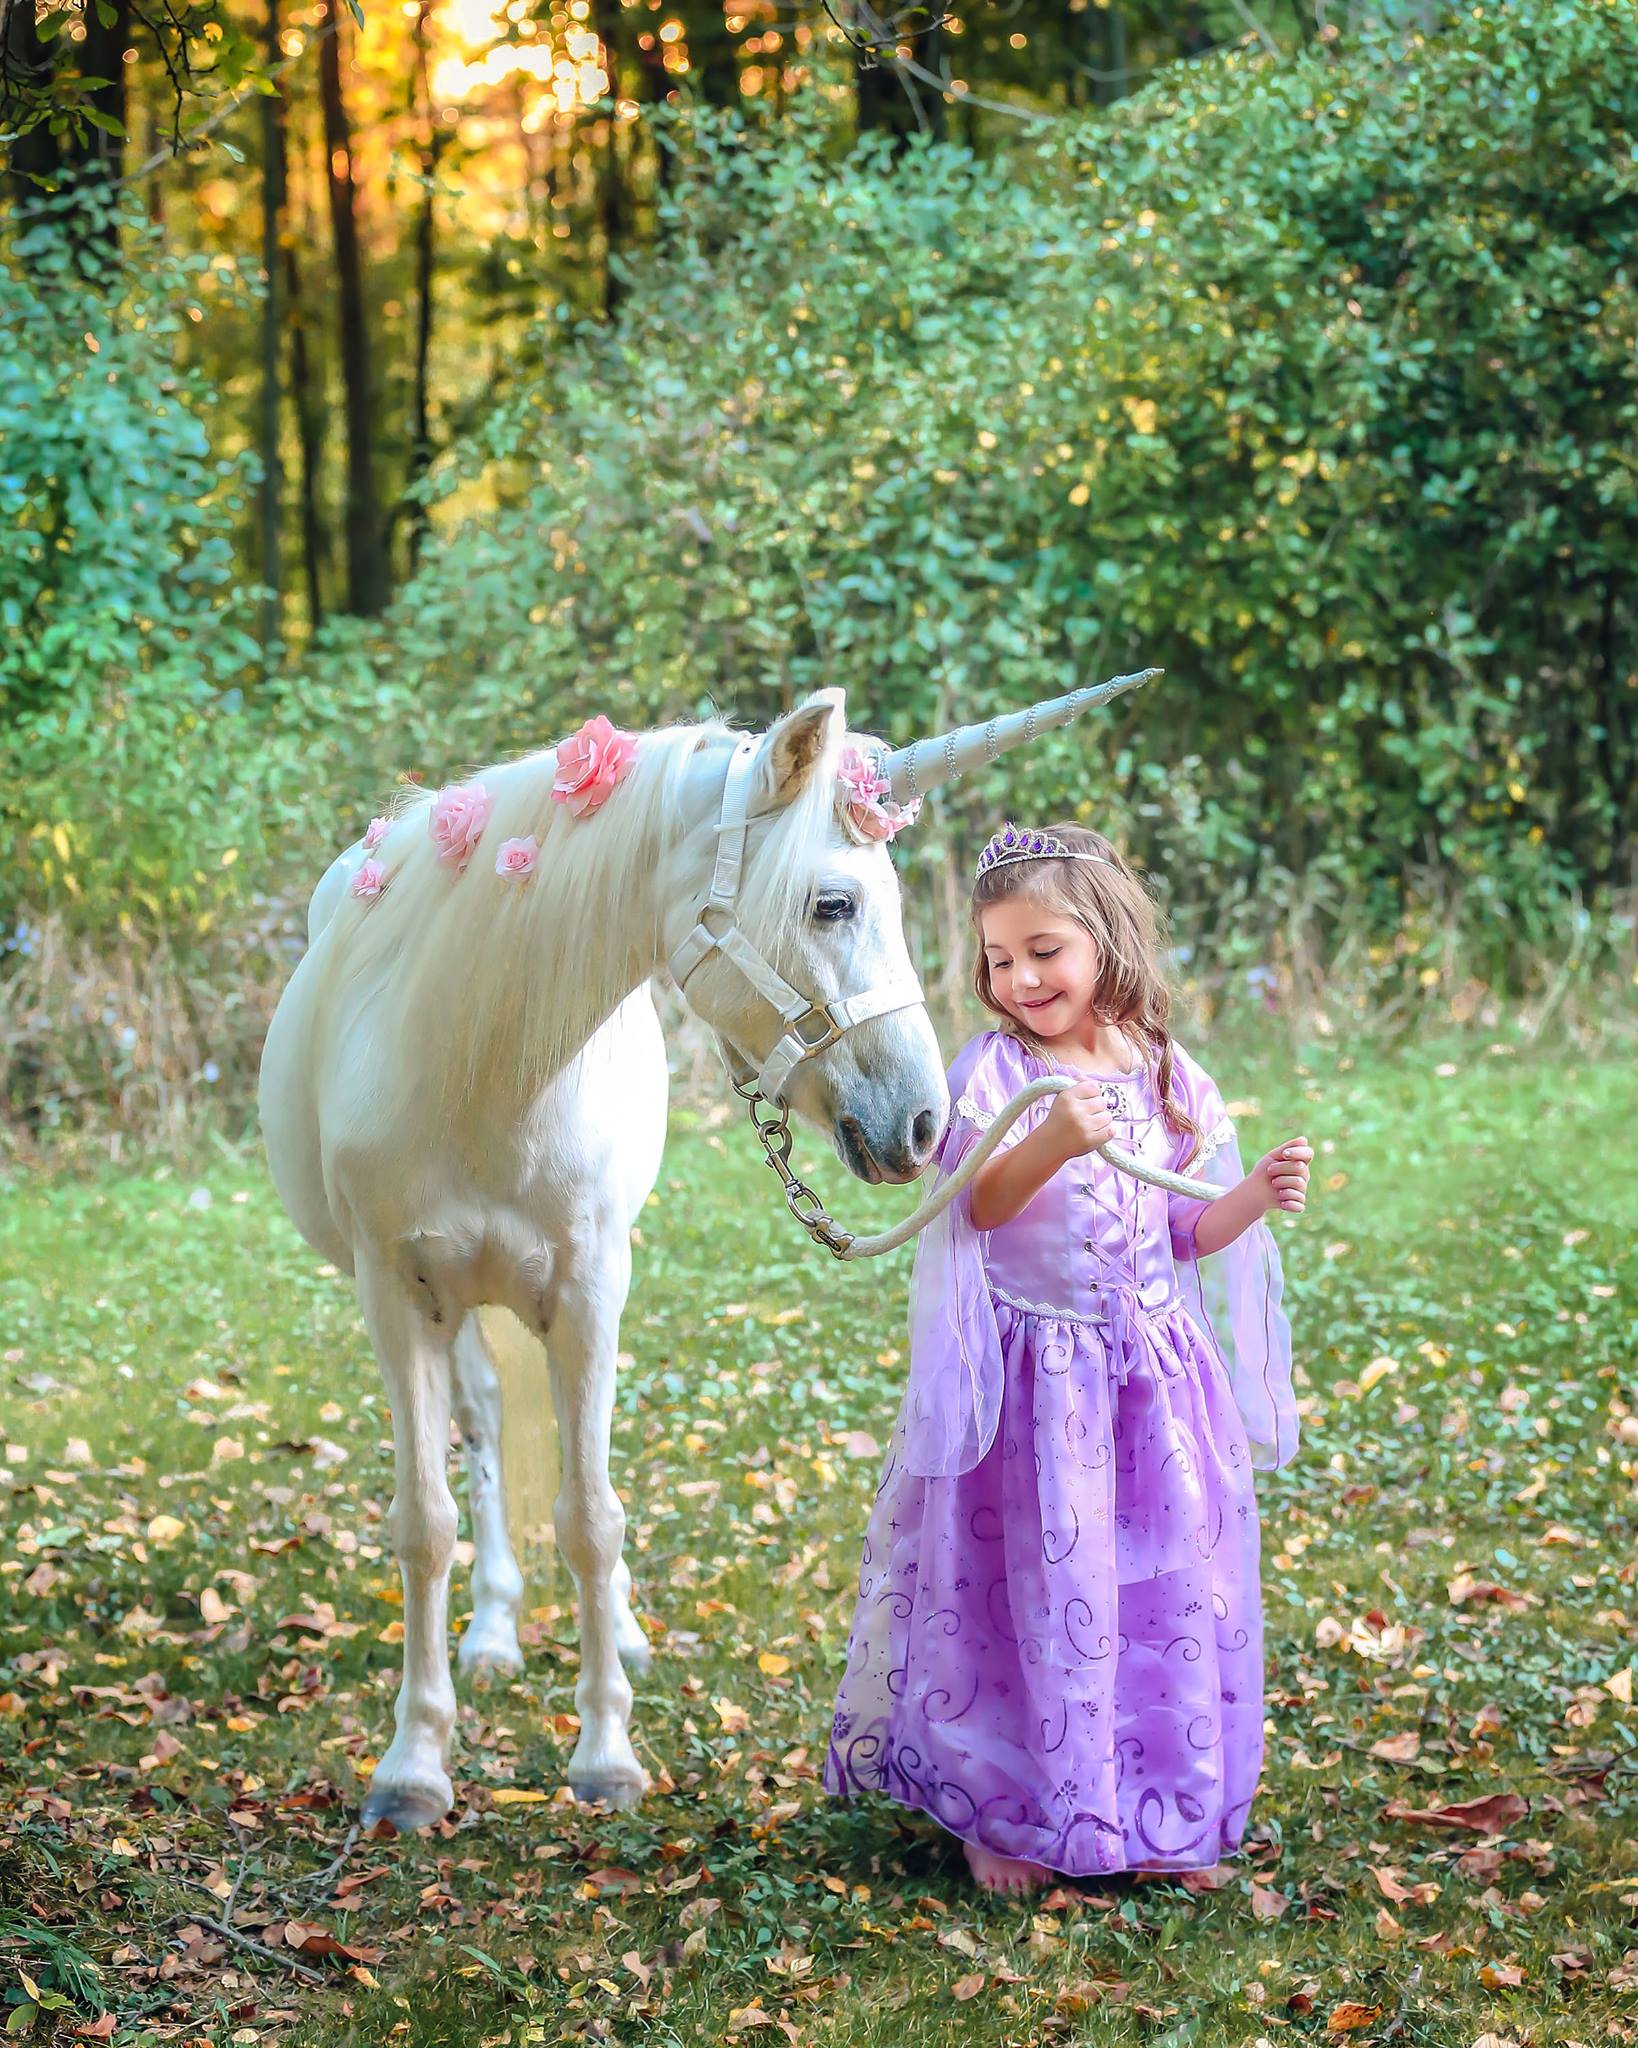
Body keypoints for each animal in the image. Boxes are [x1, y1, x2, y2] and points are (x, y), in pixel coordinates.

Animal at [258, 675, 1151, 1831]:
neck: (481, 1067)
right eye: (831, 904)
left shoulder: (591, 1285)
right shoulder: (394, 1293)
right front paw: (414, 1764)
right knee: (486, 1425)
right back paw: (494, 1628)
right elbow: (424, 1522)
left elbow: (592, 1517)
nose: (922, 1122)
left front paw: (604, 1751)